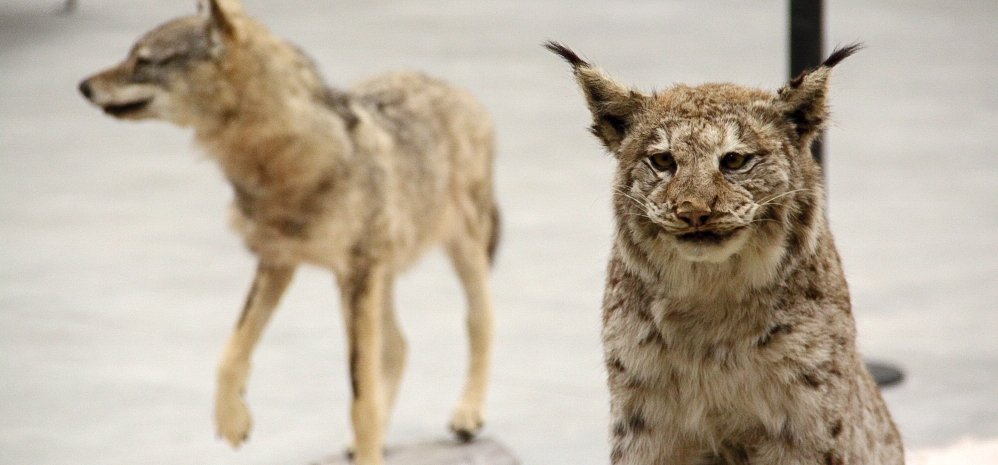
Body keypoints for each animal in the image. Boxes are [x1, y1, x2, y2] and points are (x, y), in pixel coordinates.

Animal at [78, 1, 500, 462]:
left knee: (479, 323)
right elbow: (231, 351)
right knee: (398, 348)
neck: (282, 159)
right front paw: (232, 421)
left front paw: (368, 450)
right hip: (369, 284)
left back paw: (468, 412)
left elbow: (361, 397)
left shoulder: (357, 275)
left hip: (456, 254)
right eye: (131, 55)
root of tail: (450, 87)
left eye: (143, 61)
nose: (82, 86)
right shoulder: (279, 262)